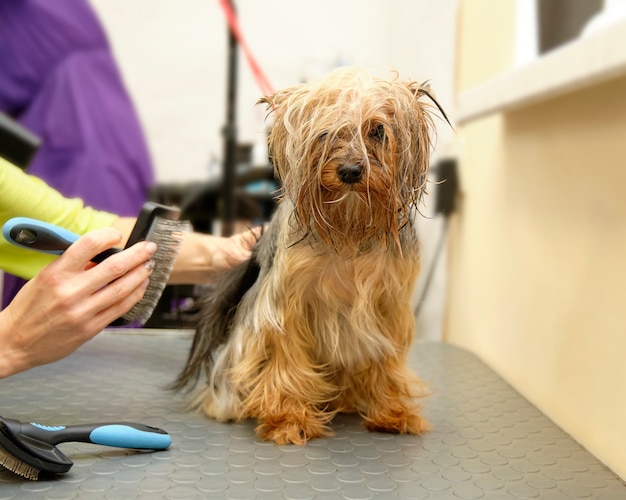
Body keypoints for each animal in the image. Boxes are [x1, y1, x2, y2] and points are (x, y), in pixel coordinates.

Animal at [176, 66, 446, 446]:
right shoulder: (287, 305)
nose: (350, 170)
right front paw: (289, 419)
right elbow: (287, 360)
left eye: (378, 130)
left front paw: (392, 411)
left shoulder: (389, 305)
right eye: (325, 134)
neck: (350, 224)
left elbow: (386, 359)